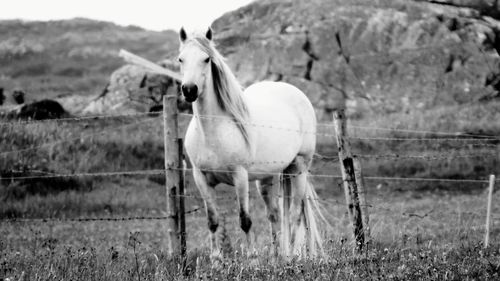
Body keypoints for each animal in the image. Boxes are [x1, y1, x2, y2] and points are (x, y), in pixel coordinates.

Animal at [178, 27, 326, 258]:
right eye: (181, 59)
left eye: (206, 59)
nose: (189, 90)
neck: (213, 132)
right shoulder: (201, 178)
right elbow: (213, 221)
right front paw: (216, 260)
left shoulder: (240, 177)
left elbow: (245, 221)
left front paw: (252, 259)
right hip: (268, 178)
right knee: (275, 215)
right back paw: (278, 258)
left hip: (299, 167)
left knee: (295, 213)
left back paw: (293, 256)